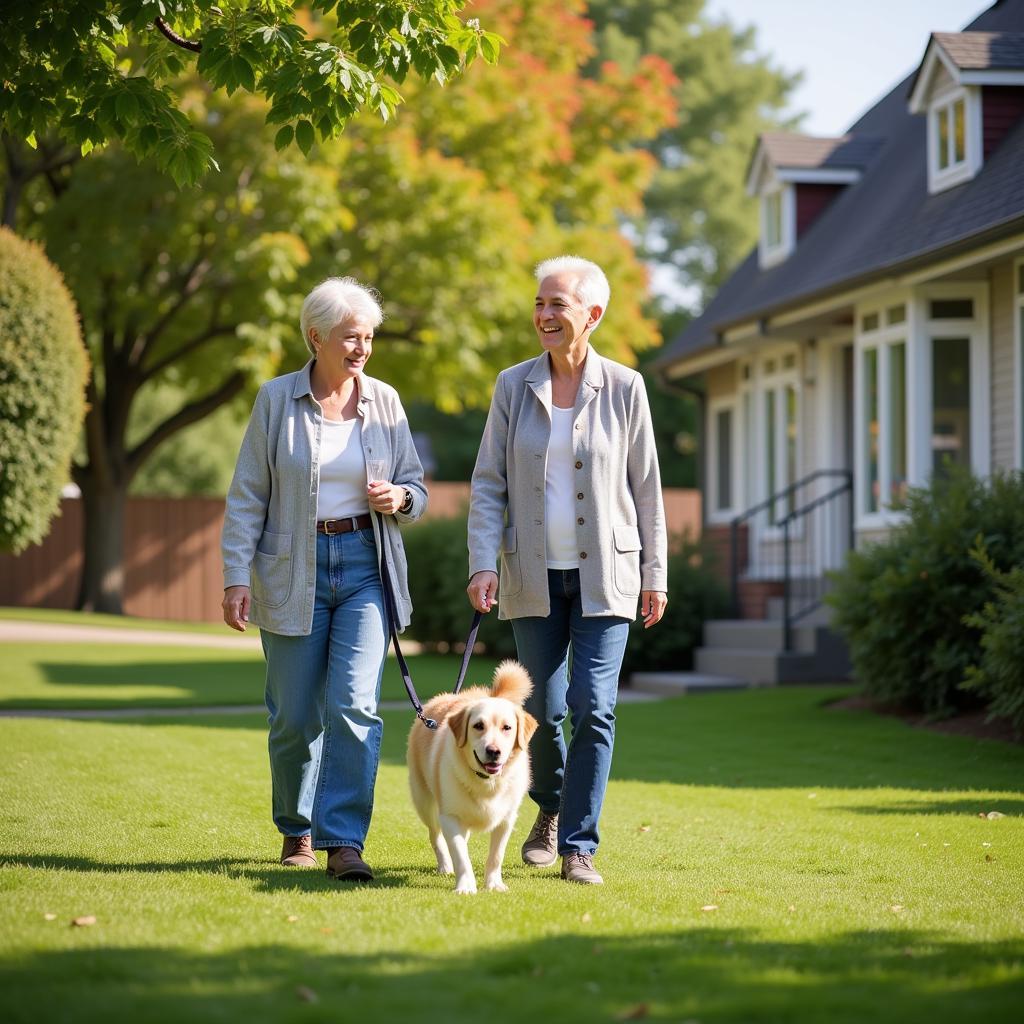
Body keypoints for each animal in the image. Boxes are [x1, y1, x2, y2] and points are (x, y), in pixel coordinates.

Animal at [405, 659, 540, 892]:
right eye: (478, 726)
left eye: (507, 727)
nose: (494, 751)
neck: (487, 782)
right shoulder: (450, 816)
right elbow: (461, 856)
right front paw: (466, 886)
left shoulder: (506, 819)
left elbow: (496, 856)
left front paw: (494, 884)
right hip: (424, 802)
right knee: (435, 835)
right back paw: (444, 865)